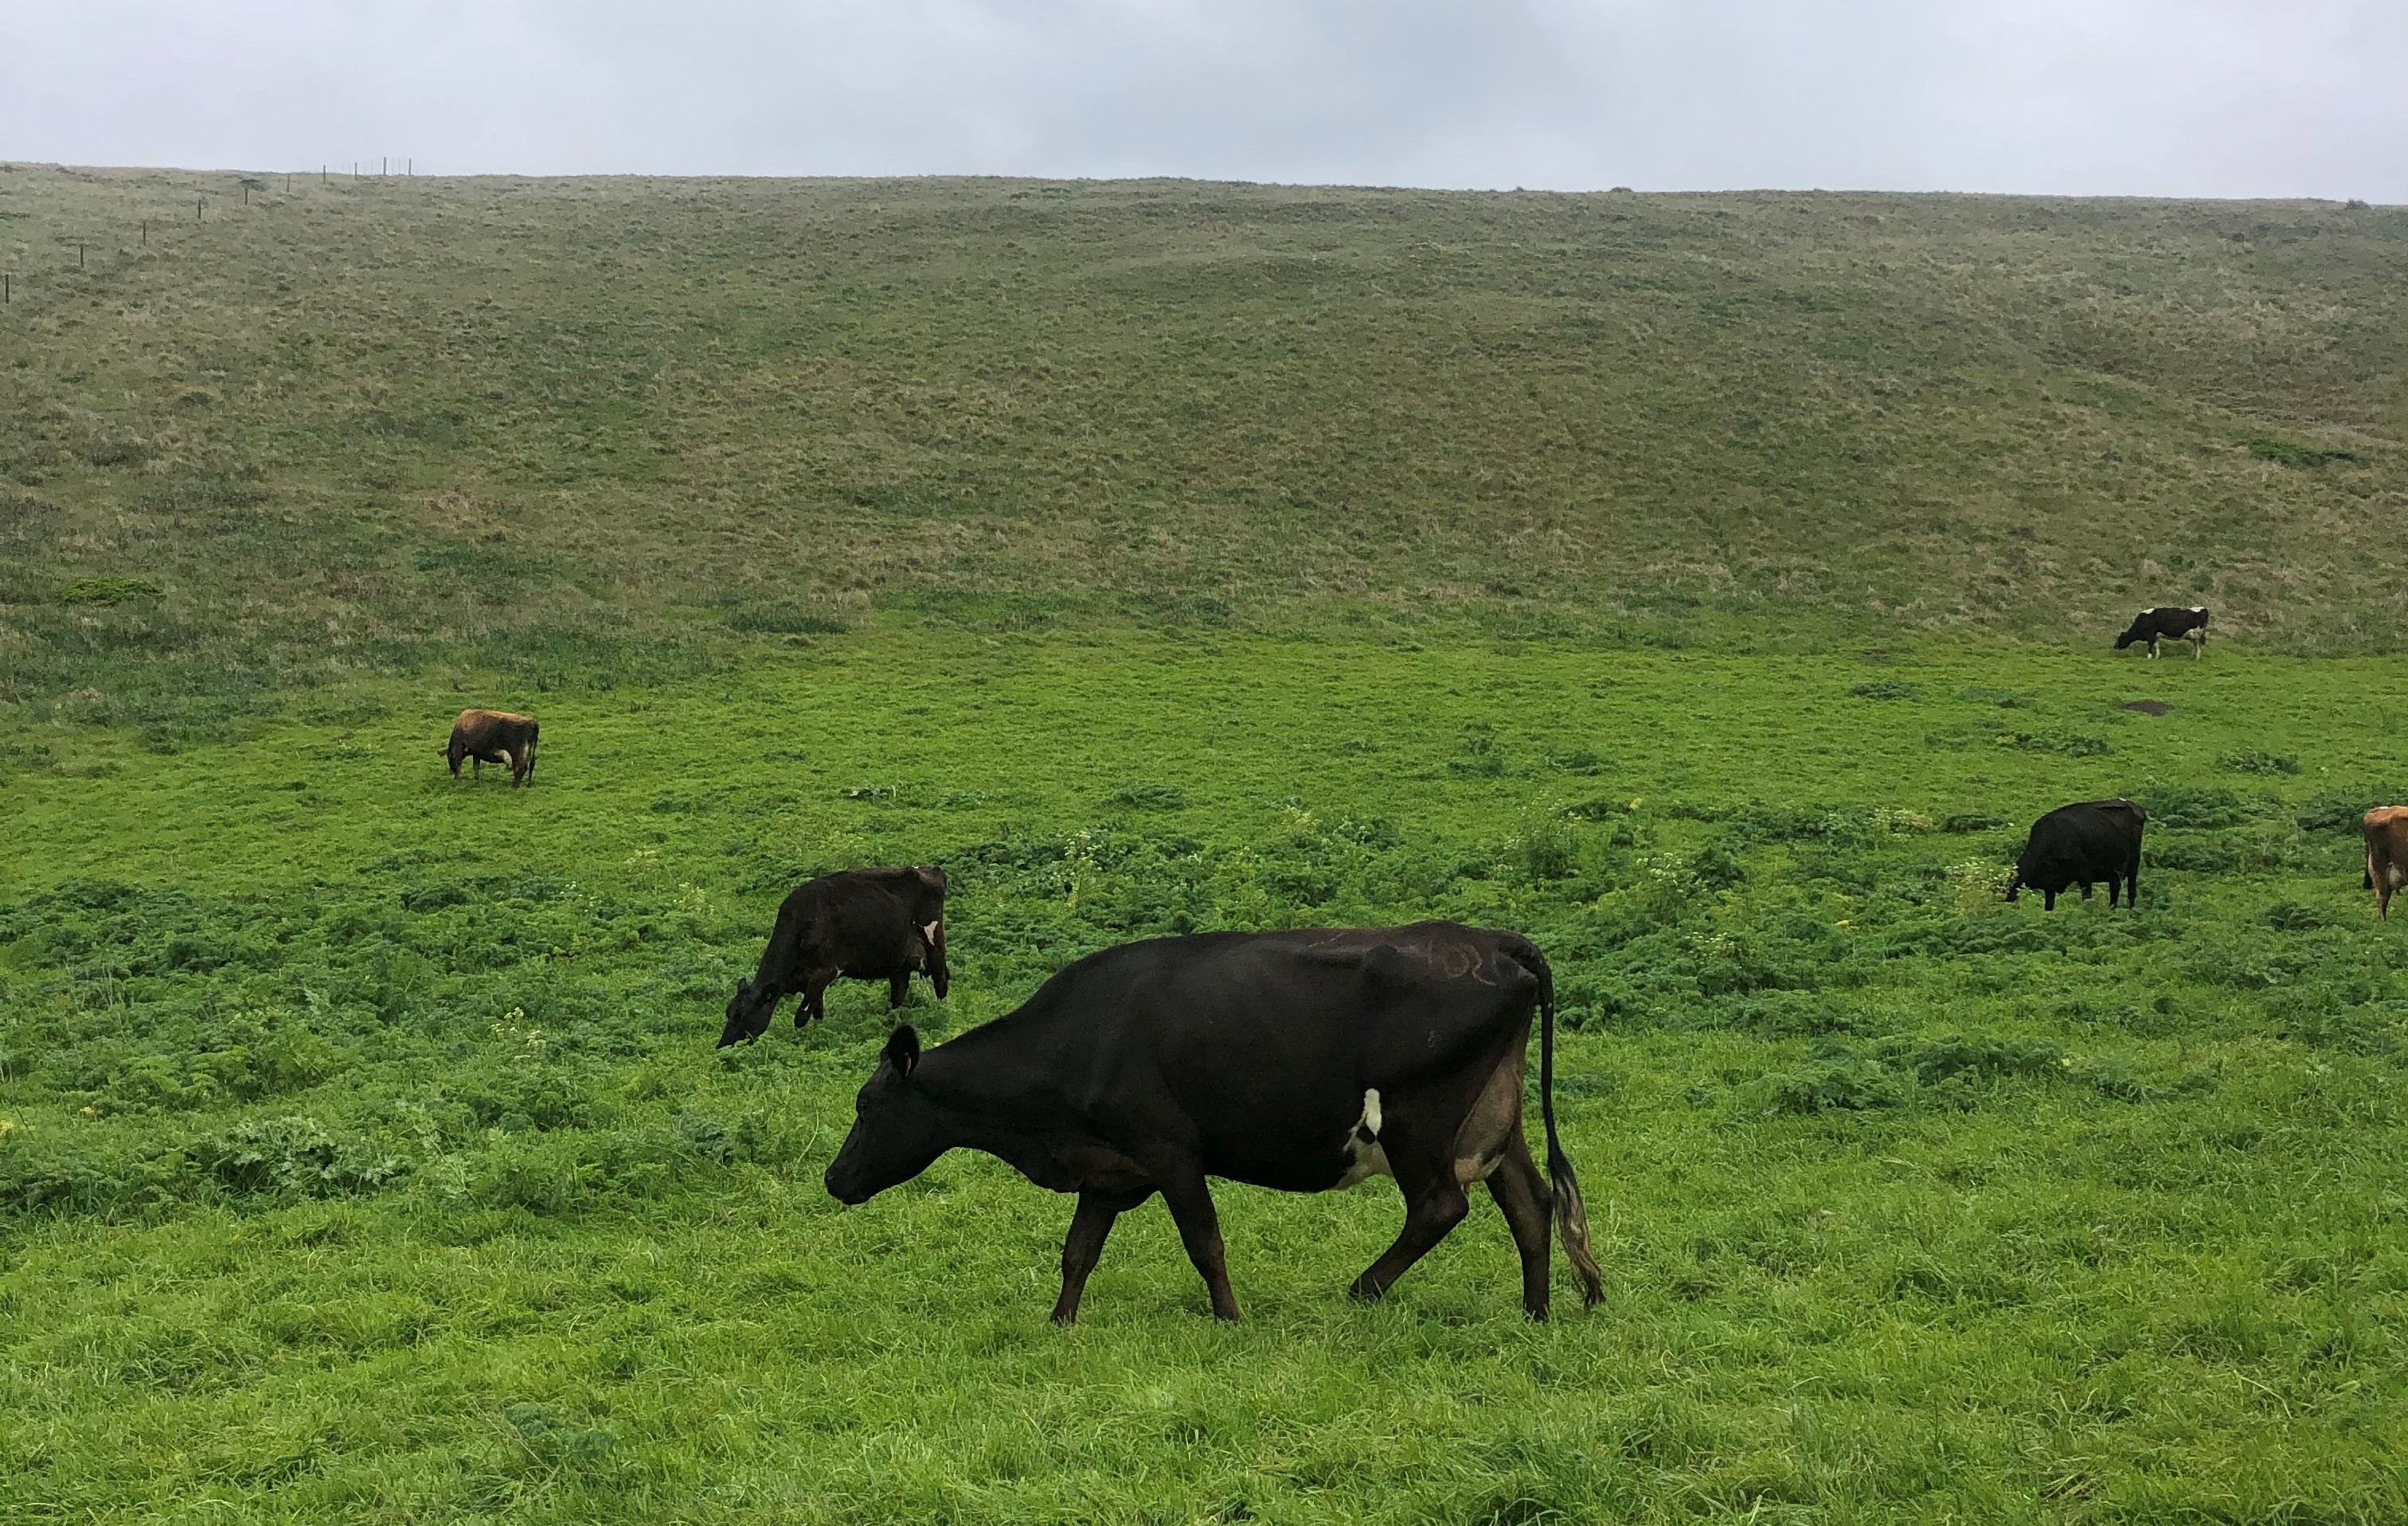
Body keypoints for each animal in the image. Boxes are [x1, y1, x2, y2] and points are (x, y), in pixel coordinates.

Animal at [719, 866, 949, 1046]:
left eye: (741, 1015)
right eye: (729, 1012)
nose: (721, 1046)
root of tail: (931, 870)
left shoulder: (825, 972)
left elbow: (801, 1016)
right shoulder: (810, 980)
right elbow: (817, 1012)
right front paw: (818, 1033)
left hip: (934, 941)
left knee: (941, 980)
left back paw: (941, 1017)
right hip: (899, 959)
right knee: (899, 992)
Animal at [822, 922, 1607, 1324]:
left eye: (865, 1106)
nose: (832, 1178)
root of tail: (1494, 940)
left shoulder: (1169, 1149)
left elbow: (1204, 1241)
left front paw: (1229, 1318)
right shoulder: (1109, 1169)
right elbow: (1078, 1251)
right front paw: (1060, 1322)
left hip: (1421, 1125)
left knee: (1442, 1207)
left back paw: (1362, 1289)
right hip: (1493, 1121)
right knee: (1532, 1206)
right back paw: (1536, 1313)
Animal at [2006, 799, 2146, 910]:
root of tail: (2134, 806)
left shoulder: (2085, 875)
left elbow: (2087, 900)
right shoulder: (2050, 887)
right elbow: (2049, 907)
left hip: (2134, 864)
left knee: (2131, 891)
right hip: (2115, 873)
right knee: (2115, 893)